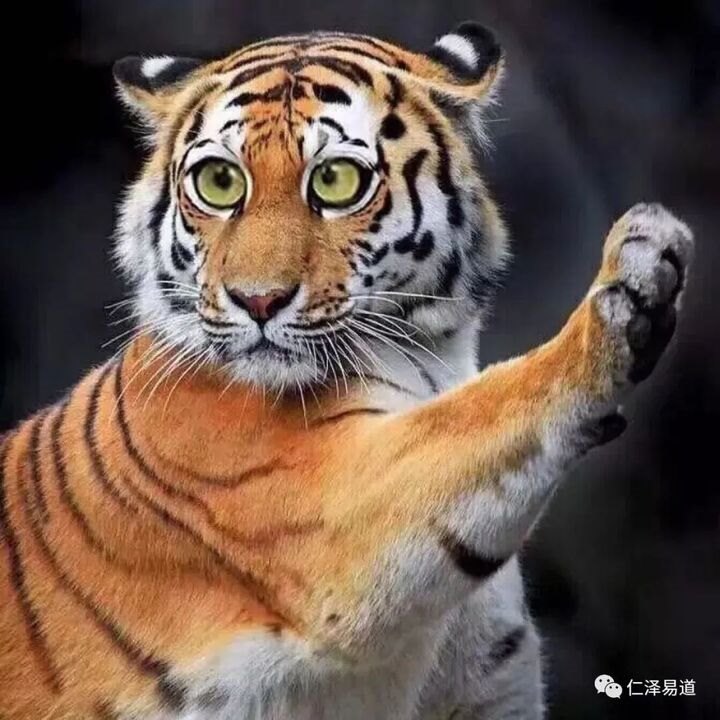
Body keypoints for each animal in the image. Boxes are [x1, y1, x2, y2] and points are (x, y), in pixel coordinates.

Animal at [0, 20, 694, 720]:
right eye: (220, 182)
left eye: (335, 181)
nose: (257, 300)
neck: (434, 357)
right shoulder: (331, 509)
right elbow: (487, 407)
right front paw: (636, 273)